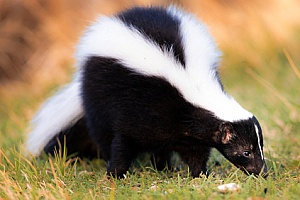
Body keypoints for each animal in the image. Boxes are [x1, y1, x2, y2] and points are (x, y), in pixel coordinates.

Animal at [27, 6, 268, 177]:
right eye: (246, 151)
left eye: (260, 146)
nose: (263, 171)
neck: (193, 87)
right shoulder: (139, 108)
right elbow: (122, 141)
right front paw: (116, 174)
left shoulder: (184, 126)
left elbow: (195, 151)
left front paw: (200, 174)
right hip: (97, 95)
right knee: (102, 132)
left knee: (161, 145)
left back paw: (163, 167)